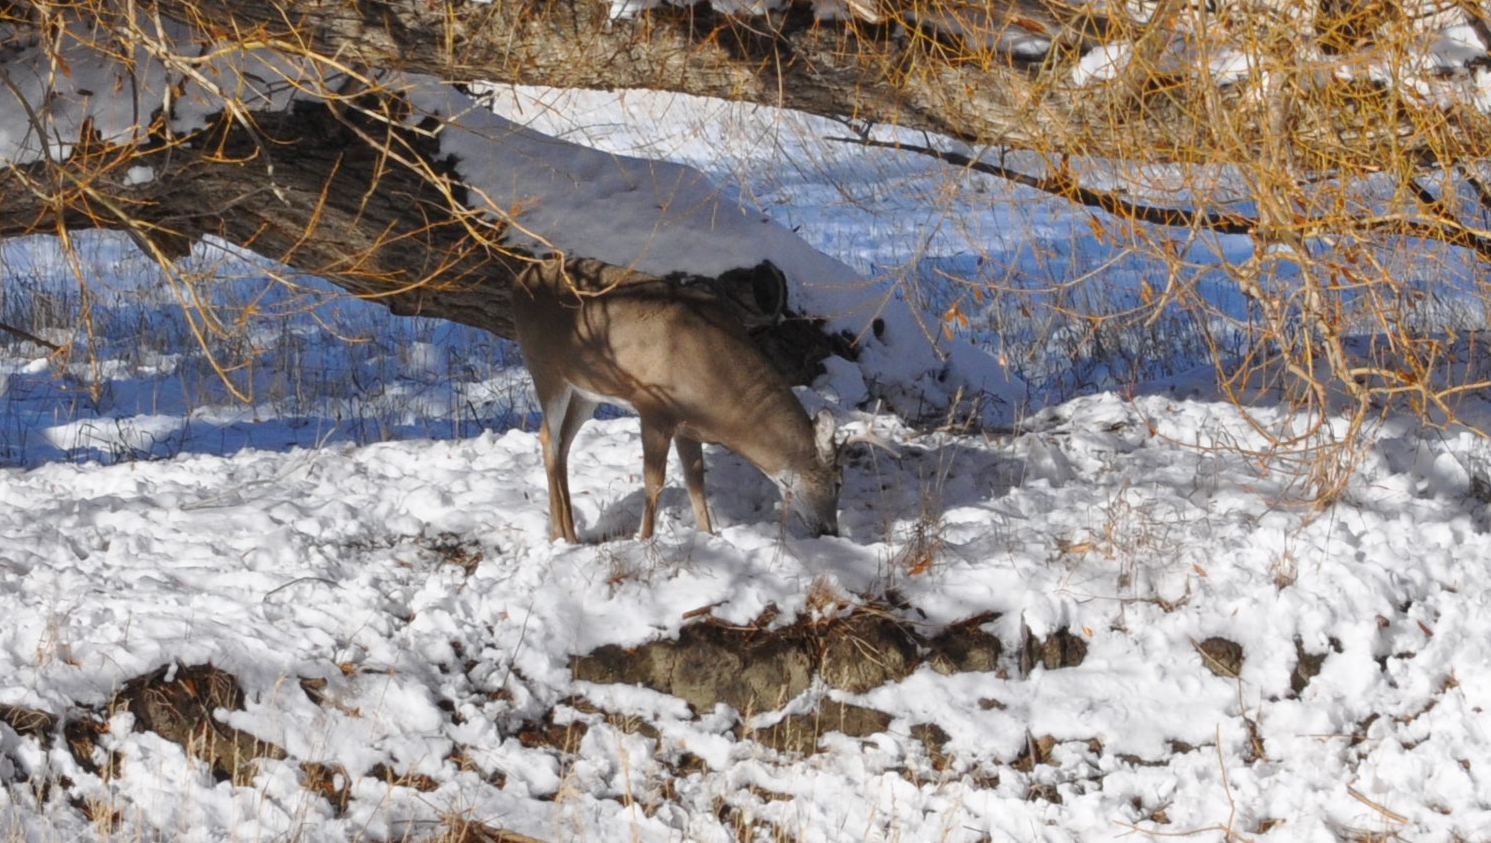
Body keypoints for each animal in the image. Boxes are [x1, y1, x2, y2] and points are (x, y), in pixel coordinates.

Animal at [509, 256, 840, 543]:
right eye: (837, 482)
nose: (831, 531)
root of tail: (522, 277)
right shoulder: (653, 408)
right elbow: (655, 482)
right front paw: (644, 540)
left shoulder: (687, 427)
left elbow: (696, 482)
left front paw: (708, 535)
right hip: (544, 367)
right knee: (547, 437)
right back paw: (559, 534)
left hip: (584, 390)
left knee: (563, 443)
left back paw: (569, 535)